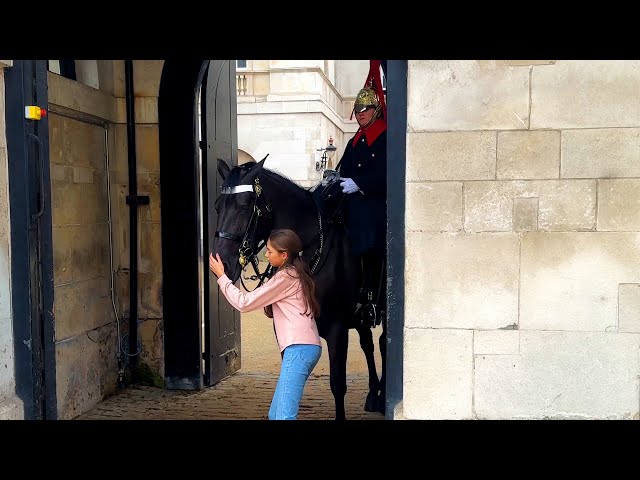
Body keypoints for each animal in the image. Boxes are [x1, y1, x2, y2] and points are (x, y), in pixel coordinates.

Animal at [212, 156, 388, 418]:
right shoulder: (286, 330)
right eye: (217, 206)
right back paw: (373, 393)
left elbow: (338, 384)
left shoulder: (337, 328)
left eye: (245, 205)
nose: (221, 264)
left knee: (384, 342)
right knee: (367, 342)